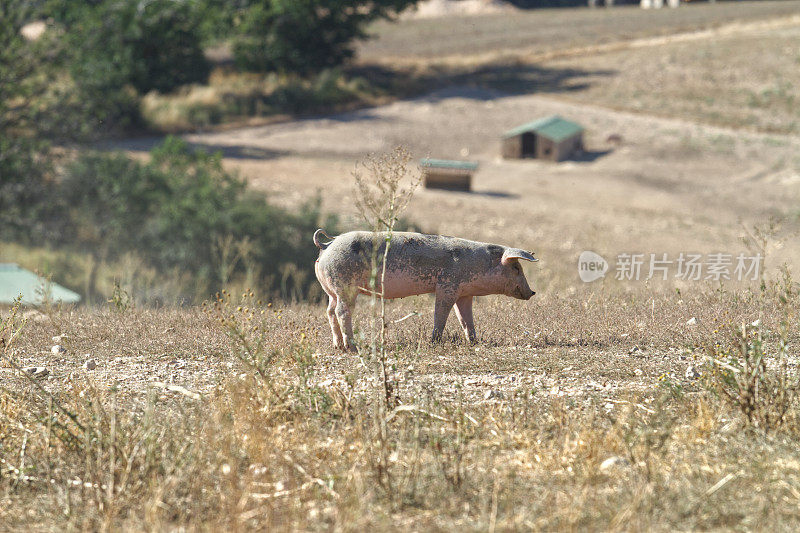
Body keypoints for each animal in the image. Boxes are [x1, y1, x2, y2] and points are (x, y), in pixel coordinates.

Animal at [312, 228, 536, 350]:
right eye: (516, 268)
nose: (532, 292)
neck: (477, 264)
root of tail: (327, 245)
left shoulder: (464, 293)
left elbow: (466, 319)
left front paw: (474, 342)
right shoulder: (447, 286)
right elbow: (441, 314)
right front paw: (434, 341)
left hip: (331, 290)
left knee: (329, 311)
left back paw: (338, 346)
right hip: (345, 286)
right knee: (342, 312)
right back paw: (352, 347)